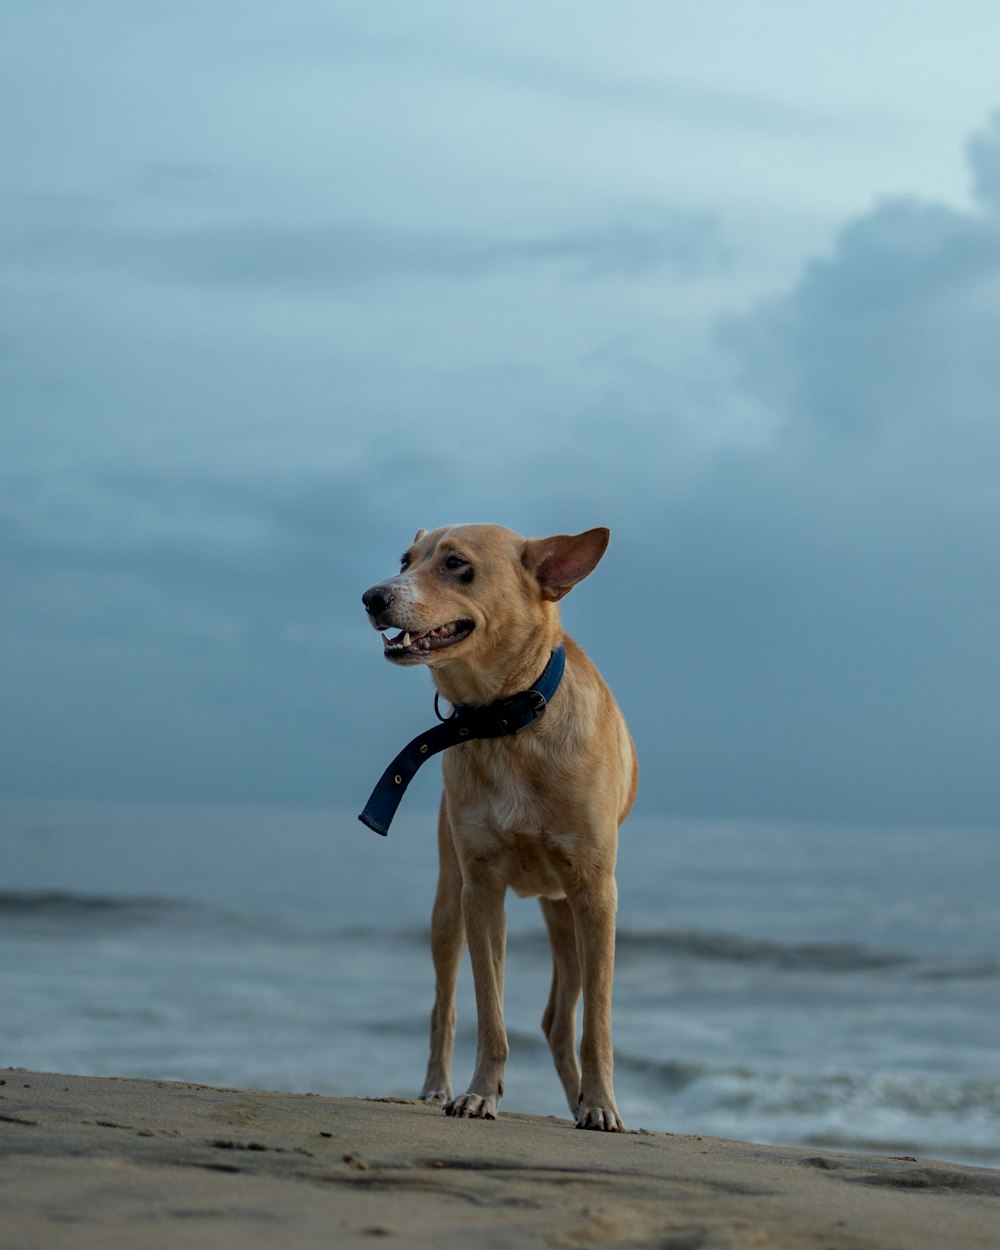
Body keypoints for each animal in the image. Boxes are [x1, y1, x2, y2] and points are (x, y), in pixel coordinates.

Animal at [362, 522, 637, 1130]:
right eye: (405, 560)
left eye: (456, 564)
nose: (372, 597)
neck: (506, 721)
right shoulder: (481, 889)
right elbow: (489, 1009)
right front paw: (480, 1093)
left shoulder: (596, 893)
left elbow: (598, 1023)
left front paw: (601, 1105)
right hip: (448, 907)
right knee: (445, 1005)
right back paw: (435, 1087)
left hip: (569, 920)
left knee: (560, 1022)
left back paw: (579, 1099)